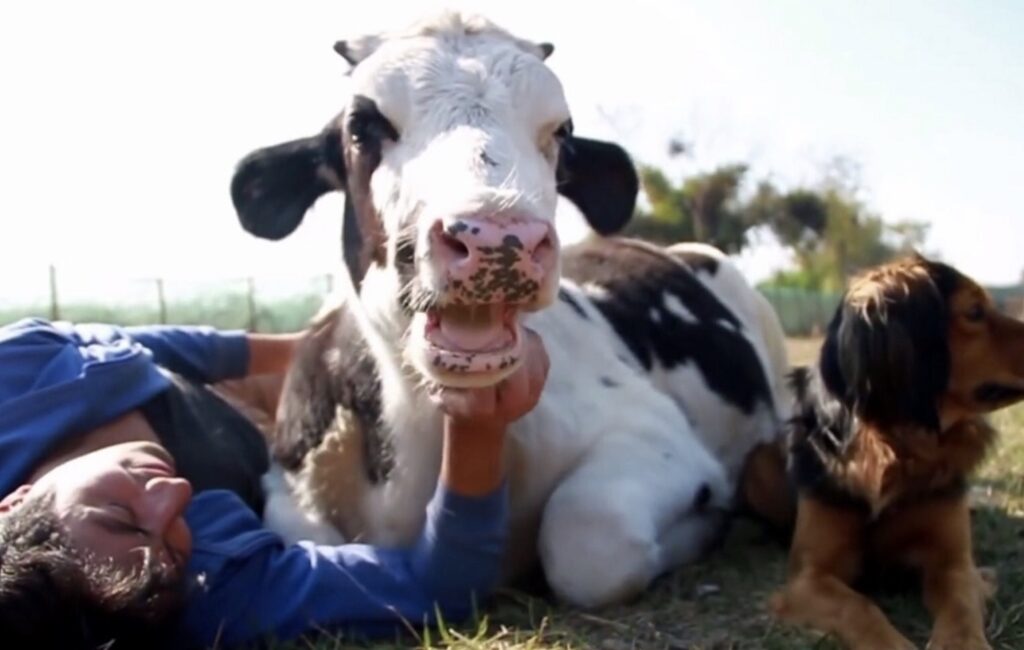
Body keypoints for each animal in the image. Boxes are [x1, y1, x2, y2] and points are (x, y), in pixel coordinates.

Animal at [234, 12, 790, 605]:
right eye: (361, 125)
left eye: (561, 131)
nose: (499, 239)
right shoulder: (289, 481)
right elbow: (304, 540)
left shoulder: (655, 433)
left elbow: (588, 537)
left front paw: (705, 524)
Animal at [770, 253, 1019, 650]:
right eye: (974, 312)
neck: (897, 445)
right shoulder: (807, 578)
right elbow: (857, 606)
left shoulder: (954, 564)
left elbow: (961, 604)